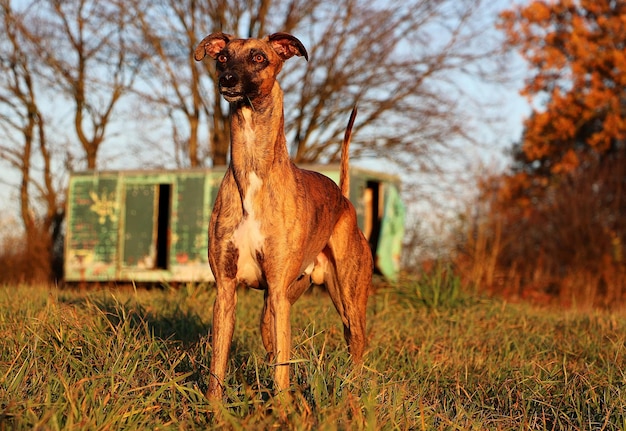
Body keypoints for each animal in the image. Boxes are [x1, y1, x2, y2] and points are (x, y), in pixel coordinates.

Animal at [195, 32, 370, 400]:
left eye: (259, 57)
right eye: (223, 57)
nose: (227, 80)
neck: (252, 170)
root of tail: (344, 199)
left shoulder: (276, 291)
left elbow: (282, 371)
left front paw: (283, 407)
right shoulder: (226, 290)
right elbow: (219, 363)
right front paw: (214, 406)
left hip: (348, 300)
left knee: (356, 345)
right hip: (275, 308)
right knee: (272, 344)